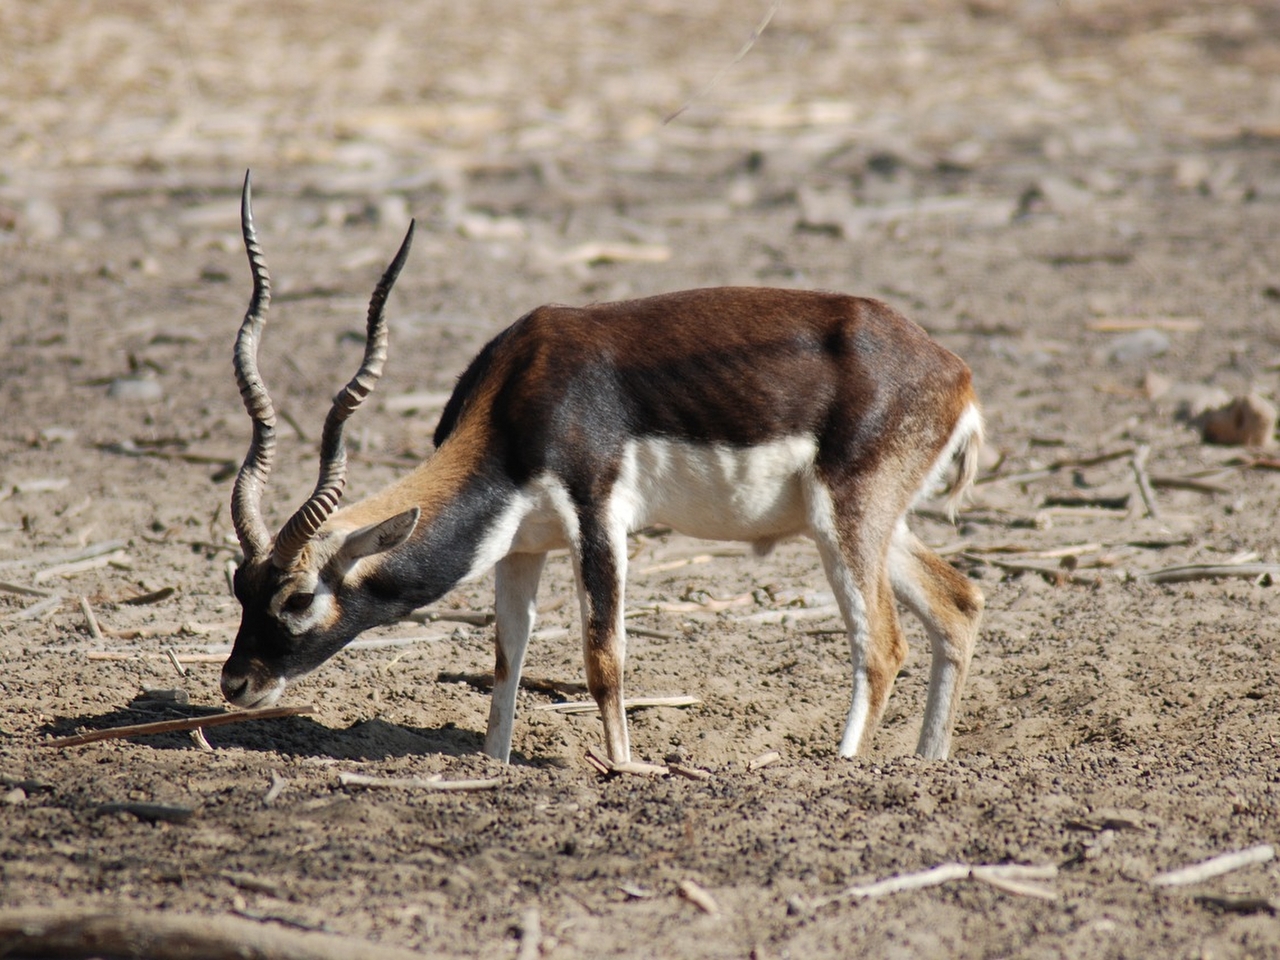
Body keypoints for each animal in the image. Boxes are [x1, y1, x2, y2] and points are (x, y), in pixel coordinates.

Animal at [222, 175, 977, 768]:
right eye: (238, 587)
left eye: (297, 598)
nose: (236, 684)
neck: (519, 400)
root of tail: (953, 370)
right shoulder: (519, 547)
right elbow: (507, 657)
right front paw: (495, 765)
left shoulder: (598, 518)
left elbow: (603, 659)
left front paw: (623, 768)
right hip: (867, 524)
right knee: (959, 603)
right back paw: (926, 763)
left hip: (844, 521)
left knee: (882, 646)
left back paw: (844, 766)